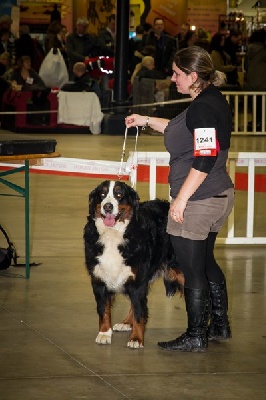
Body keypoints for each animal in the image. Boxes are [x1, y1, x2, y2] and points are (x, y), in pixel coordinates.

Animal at [83, 180, 183, 348]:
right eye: (102, 194)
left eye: (119, 194)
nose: (107, 206)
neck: (113, 235)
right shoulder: (99, 280)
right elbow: (104, 310)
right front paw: (104, 333)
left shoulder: (137, 281)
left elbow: (139, 312)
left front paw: (136, 338)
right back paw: (126, 323)